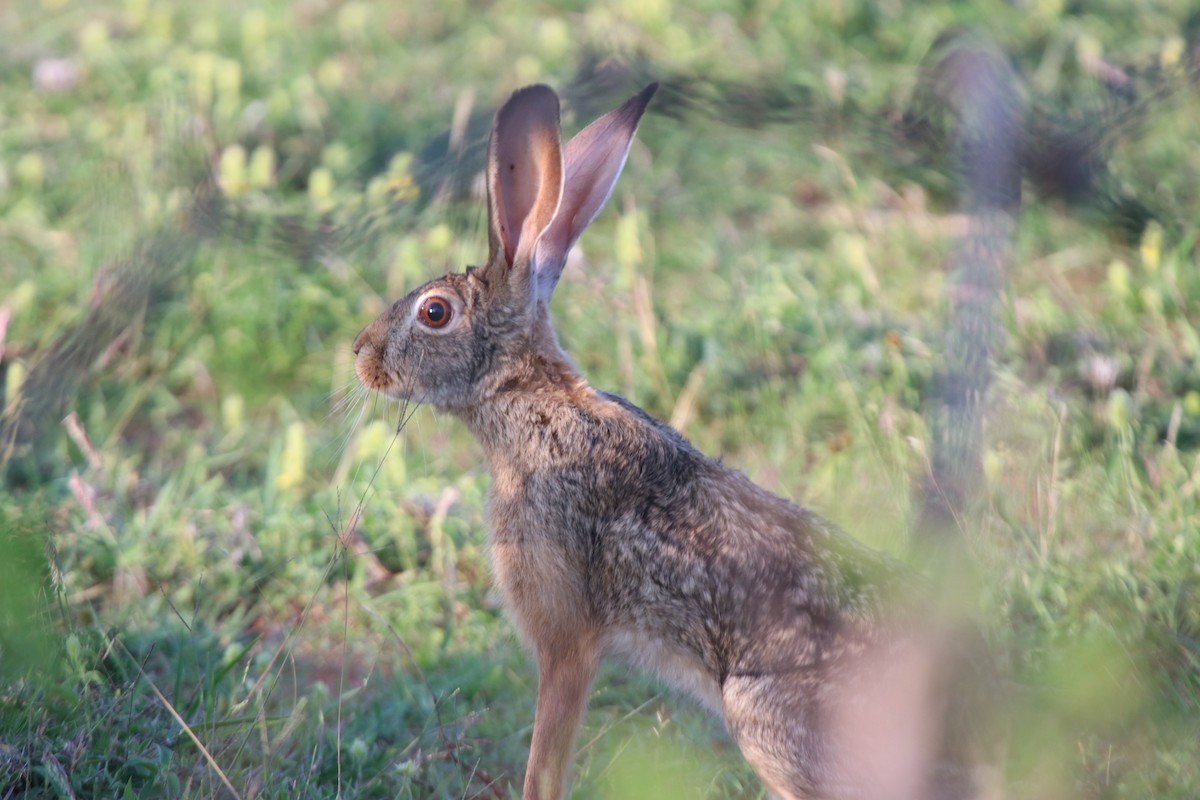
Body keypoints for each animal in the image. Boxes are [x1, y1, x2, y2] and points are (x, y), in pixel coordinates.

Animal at [352, 83, 996, 800]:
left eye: (434, 313)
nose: (360, 356)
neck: (526, 398)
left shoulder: (566, 642)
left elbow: (546, 762)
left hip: (764, 720)